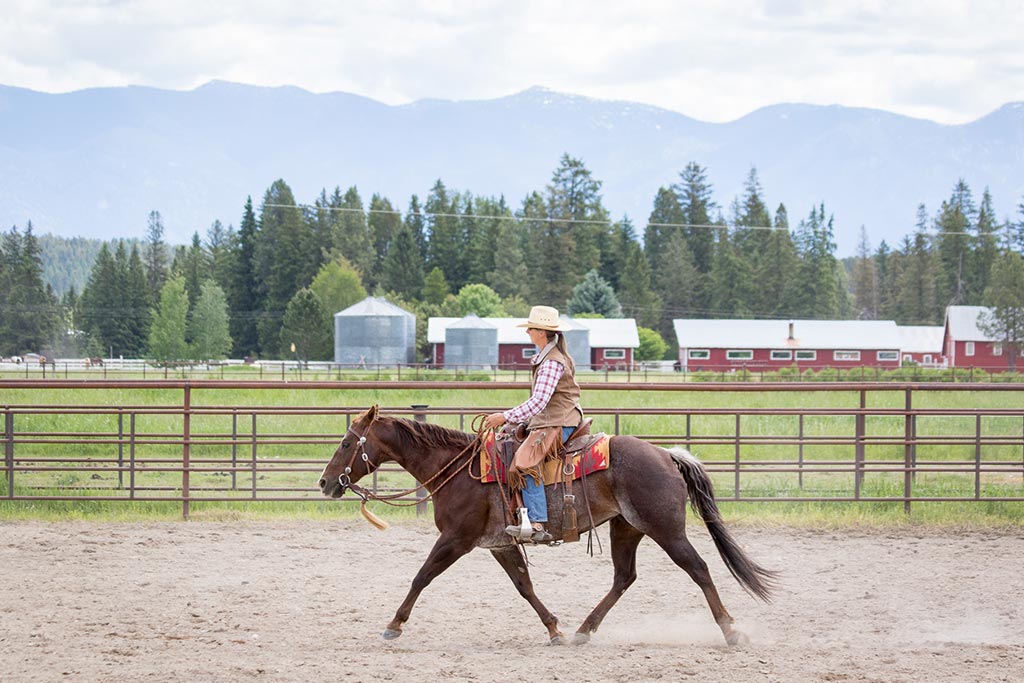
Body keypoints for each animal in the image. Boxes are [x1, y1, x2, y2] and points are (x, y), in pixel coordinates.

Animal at [319, 405, 774, 647]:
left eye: (346, 442)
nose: (324, 483)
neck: (459, 471)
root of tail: (666, 455)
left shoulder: (456, 540)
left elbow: (421, 577)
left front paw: (393, 625)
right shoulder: (499, 544)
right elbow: (524, 586)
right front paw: (554, 629)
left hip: (667, 530)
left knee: (698, 569)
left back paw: (731, 632)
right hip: (626, 528)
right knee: (624, 577)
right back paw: (583, 632)